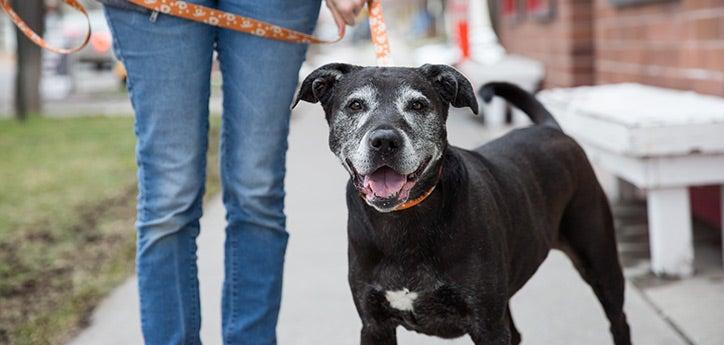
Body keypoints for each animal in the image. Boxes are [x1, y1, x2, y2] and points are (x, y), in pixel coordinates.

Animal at [292, 64, 632, 344]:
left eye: (418, 105)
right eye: (355, 105)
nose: (385, 141)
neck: (404, 220)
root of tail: (551, 128)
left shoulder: (487, 326)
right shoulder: (375, 325)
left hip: (599, 260)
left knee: (619, 320)